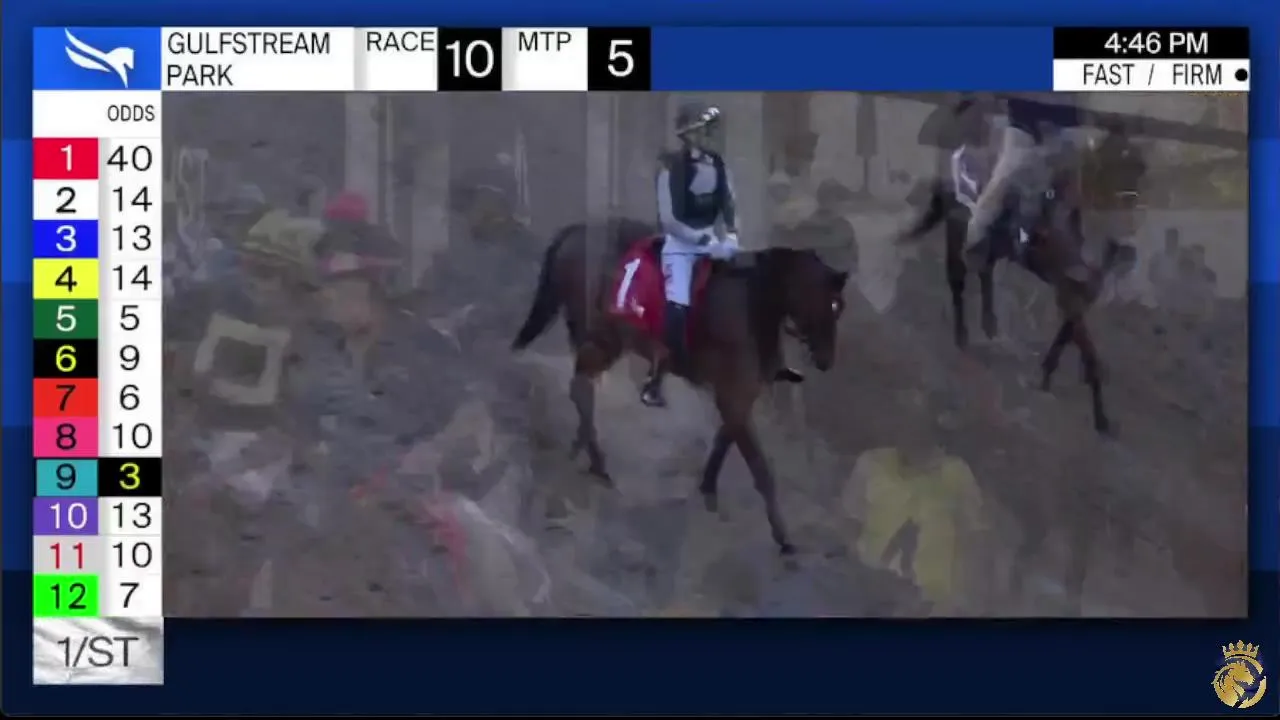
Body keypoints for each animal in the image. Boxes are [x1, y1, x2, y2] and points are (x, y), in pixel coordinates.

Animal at [511, 218, 850, 553]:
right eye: (833, 304)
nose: (826, 359)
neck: (753, 305)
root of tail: (575, 233)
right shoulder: (733, 398)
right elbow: (760, 468)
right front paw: (783, 538)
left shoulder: (738, 399)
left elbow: (724, 439)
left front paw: (708, 487)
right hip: (605, 340)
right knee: (581, 389)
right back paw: (597, 462)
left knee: (583, 389)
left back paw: (585, 449)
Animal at [898, 137, 1142, 435]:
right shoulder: (1069, 297)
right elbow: (1090, 358)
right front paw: (1102, 419)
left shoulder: (1077, 300)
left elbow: (1066, 339)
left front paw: (1046, 375)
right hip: (959, 227)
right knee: (957, 276)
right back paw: (963, 335)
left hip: (990, 242)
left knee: (984, 269)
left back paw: (989, 325)